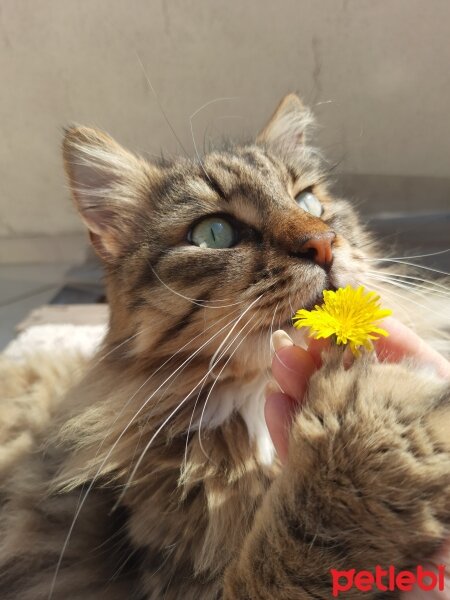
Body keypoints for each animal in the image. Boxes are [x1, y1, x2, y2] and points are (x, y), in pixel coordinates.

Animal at [0, 95, 448, 600]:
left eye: (308, 201)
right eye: (214, 233)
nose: (323, 243)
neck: (255, 396)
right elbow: (285, 555)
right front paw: (367, 428)